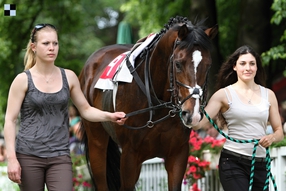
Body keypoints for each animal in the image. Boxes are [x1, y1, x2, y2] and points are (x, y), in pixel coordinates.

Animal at [79, 16, 218, 191]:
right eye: (178, 64)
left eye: (208, 65)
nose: (192, 114)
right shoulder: (130, 155)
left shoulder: (178, 154)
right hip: (96, 142)